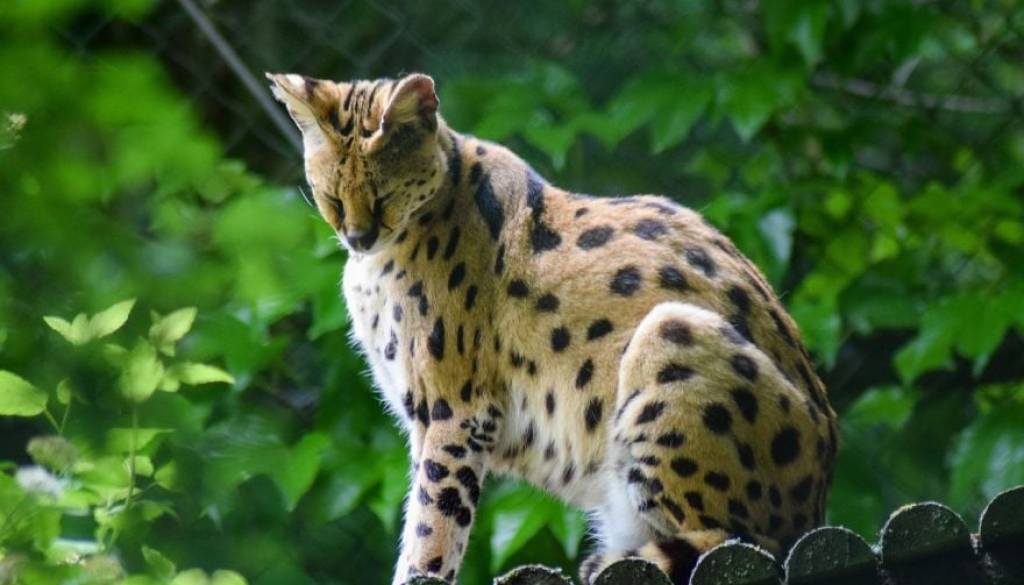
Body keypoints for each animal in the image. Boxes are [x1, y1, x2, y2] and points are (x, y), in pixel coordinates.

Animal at [267, 72, 838, 585]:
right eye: (331, 198)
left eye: (384, 195)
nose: (357, 236)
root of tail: (818, 506)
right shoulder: (427, 418)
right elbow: (423, 508)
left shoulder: (456, 409)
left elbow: (434, 516)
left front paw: (421, 571)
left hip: (671, 330)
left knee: (746, 540)